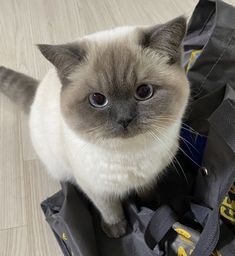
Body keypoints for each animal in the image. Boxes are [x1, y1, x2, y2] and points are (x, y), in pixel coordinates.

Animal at [0, 16, 189, 238]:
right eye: (98, 100)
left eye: (144, 92)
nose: (124, 119)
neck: (130, 153)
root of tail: (38, 89)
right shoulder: (97, 189)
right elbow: (110, 210)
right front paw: (117, 230)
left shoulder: (149, 177)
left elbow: (146, 191)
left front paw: (149, 205)